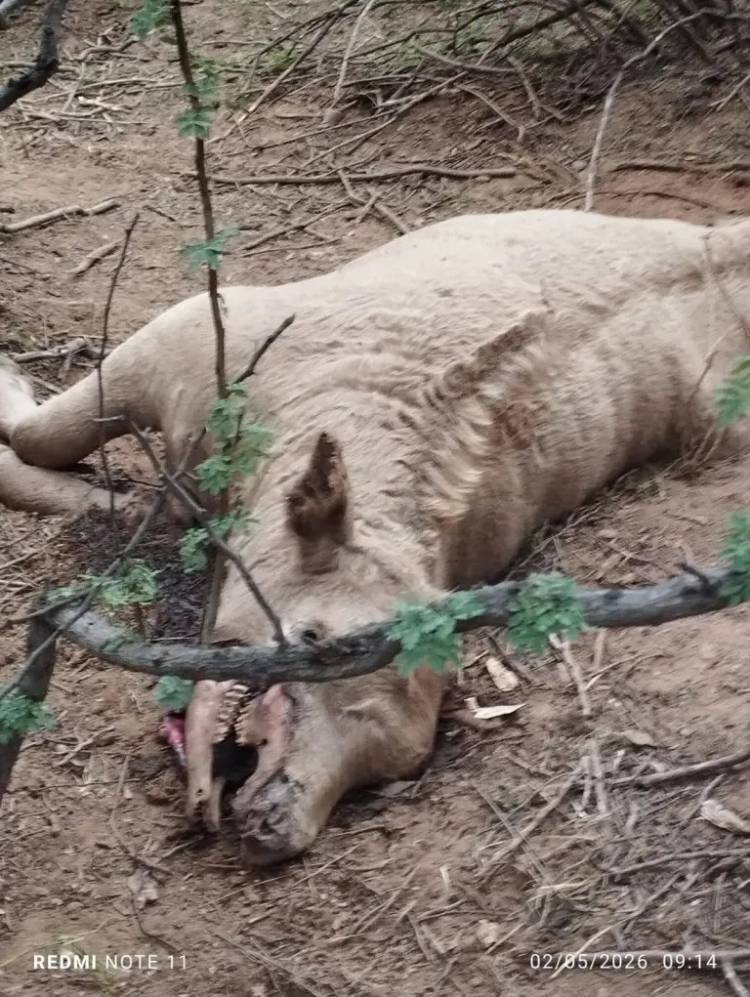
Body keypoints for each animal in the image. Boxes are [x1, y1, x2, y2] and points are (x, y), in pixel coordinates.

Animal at [1, 209, 748, 864]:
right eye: (313, 640)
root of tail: (713, 239)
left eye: (382, 767)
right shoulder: (189, 332)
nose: (275, 821)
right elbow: (33, 437)